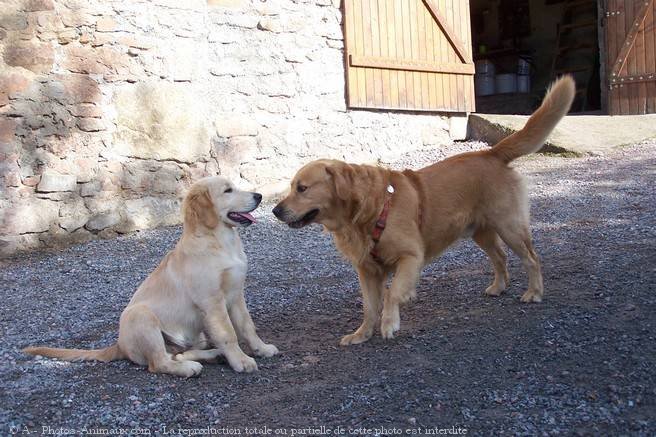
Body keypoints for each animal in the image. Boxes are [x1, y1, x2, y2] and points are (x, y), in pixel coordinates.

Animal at [23, 175, 276, 376]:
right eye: (227, 190)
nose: (259, 196)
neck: (222, 242)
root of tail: (120, 345)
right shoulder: (212, 301)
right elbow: (228, 334)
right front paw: (241, 360)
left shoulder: (236, 294)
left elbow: (247, 326)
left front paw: (261, 348)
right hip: (141, 316)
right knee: (159, 363)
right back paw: (189, 368)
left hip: (194, 337)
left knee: (178, 353)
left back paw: (213, 355)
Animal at [272, 76, 576, 344]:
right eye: (292, 187)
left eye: (302, 188)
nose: (275, 210)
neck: (368, 212)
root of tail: (491, 152)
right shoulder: (367, 270)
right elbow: (369, 307)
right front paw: (361, 334)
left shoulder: (410, 257)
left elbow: (392, 294)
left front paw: (389, 323)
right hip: (482, 233)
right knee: (500, 257)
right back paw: (499, 287)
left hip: (510, 227)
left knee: (532, 259)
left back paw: (534, 292)